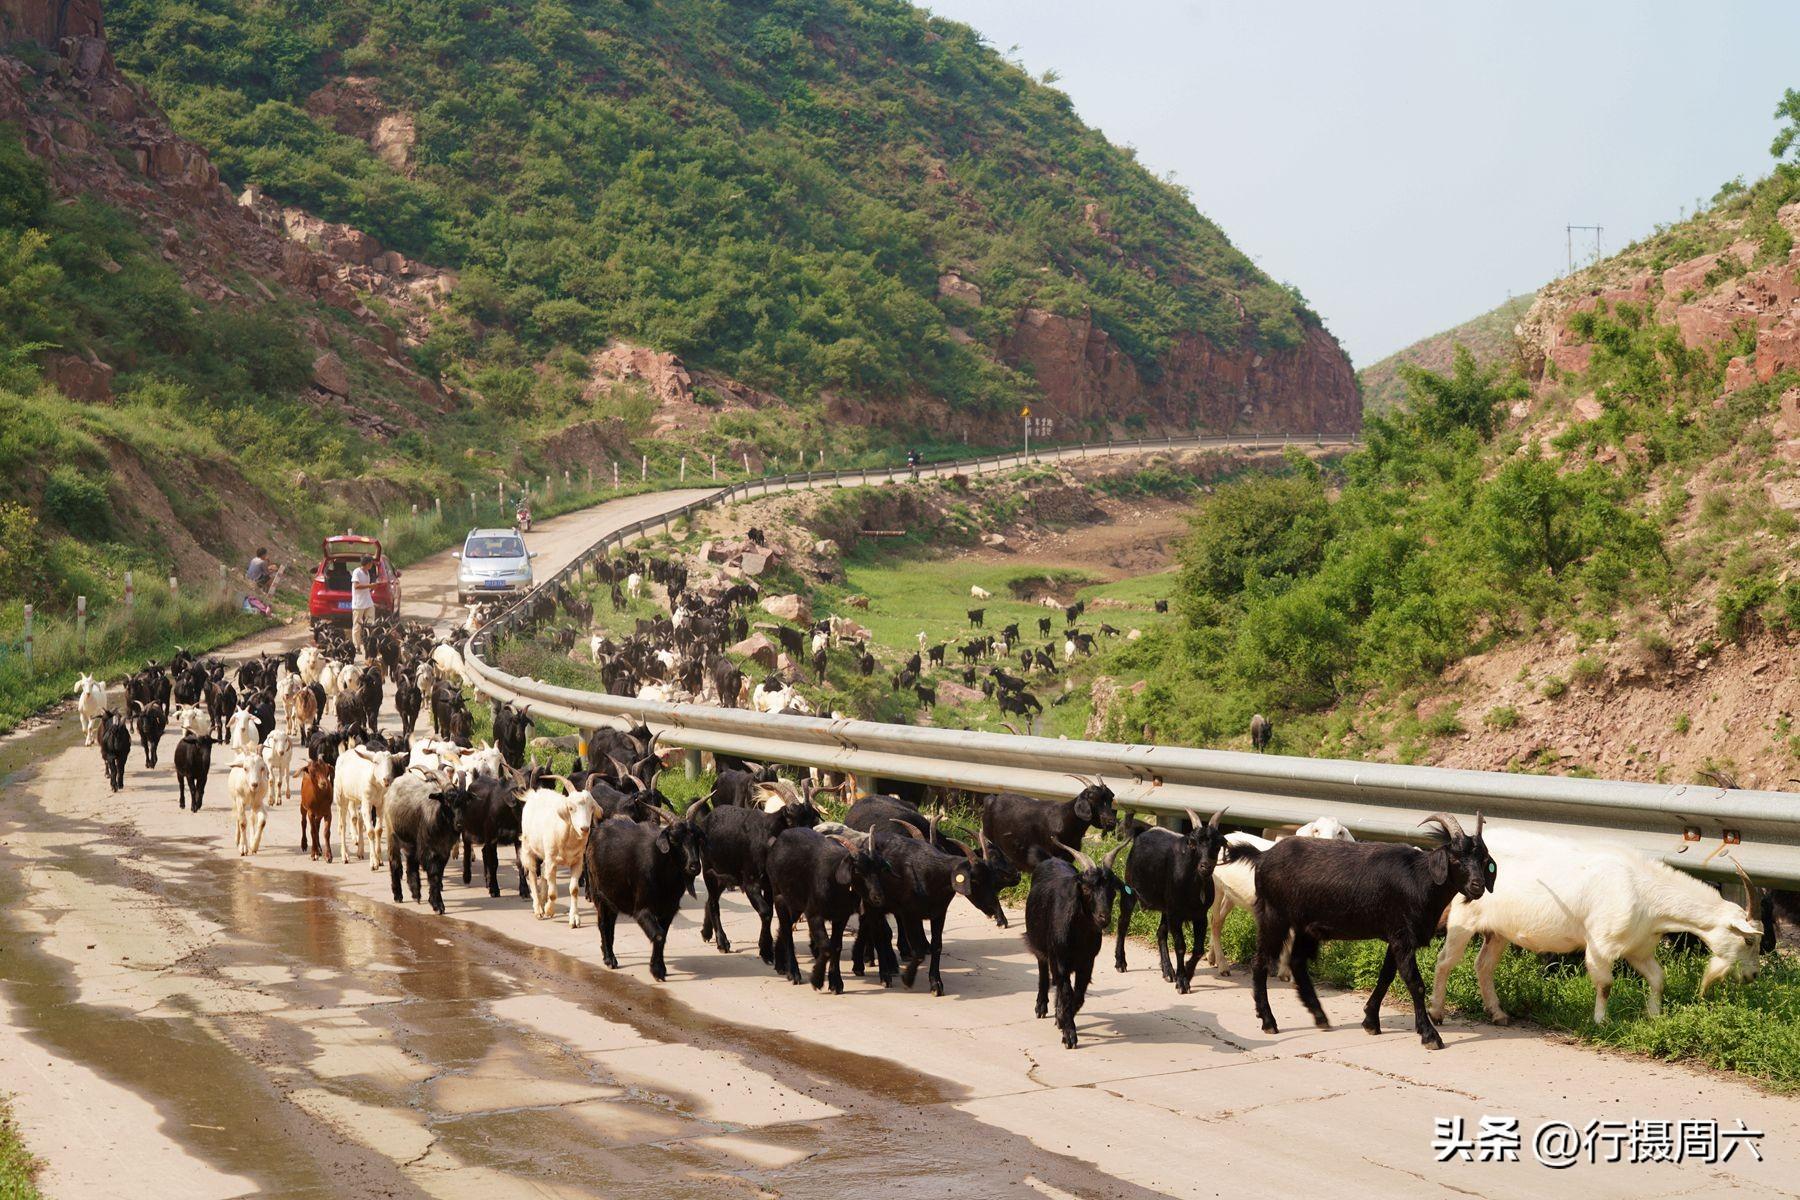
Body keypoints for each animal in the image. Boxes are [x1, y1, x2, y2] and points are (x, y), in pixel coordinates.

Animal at [1022, 841, 1116, 1043]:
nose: (1103, 917)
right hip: (1040, 946)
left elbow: (1077, 995)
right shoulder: (1059, 960)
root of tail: (1049, 858)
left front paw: (1062, 1020)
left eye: (1112, 890)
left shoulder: (1087, 962)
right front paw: (1069, 1034)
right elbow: (1066, 993)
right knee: (1043, 972)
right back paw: (1041, 1007)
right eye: (1086, 888)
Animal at [1116, 805, 1231, 993]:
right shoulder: (1176, 914)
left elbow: (1198, 949)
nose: (1205, 866)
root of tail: (1144, 831)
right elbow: (1180, 946)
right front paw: (1182, 982)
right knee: (1123, 923)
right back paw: (1120, 962)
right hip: (1130, 890)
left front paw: (1186, 973)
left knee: (1161, 932)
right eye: (1193, 843)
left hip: (1165, 907)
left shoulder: (1200, 915)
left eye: (1218, 844)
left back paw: (1168, 970)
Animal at [1245, 805, 1497, 1050]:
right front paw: (1430, 1036)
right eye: (1455, 859)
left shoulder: (1396, 937)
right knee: (1260, 961)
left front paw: (1371, 1021)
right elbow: (1415, 983)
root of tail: (1263, 857)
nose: (1477, 886)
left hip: (1306, 926)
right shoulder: (1402, 936)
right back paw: (1269, 1021)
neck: (1420, 879)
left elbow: (1385, 977)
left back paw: (1320, 1016)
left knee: (1297, 961)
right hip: (1274, 916)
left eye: (1484, 859)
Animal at [1432, 831, 1756, 1029]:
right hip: (1464, 917)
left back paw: (1498, 1014)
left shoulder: (1638, 948)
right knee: (1445, 961)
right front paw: (1601, 1022)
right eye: (1750, 941)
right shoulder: (1602, 945)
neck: (1645, 892)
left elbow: (1658, 978)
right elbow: (1606, 984)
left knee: (1483, 965)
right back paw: (1437, 1012)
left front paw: (1654, 1015)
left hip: (1498, 931)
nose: (1752, 976)